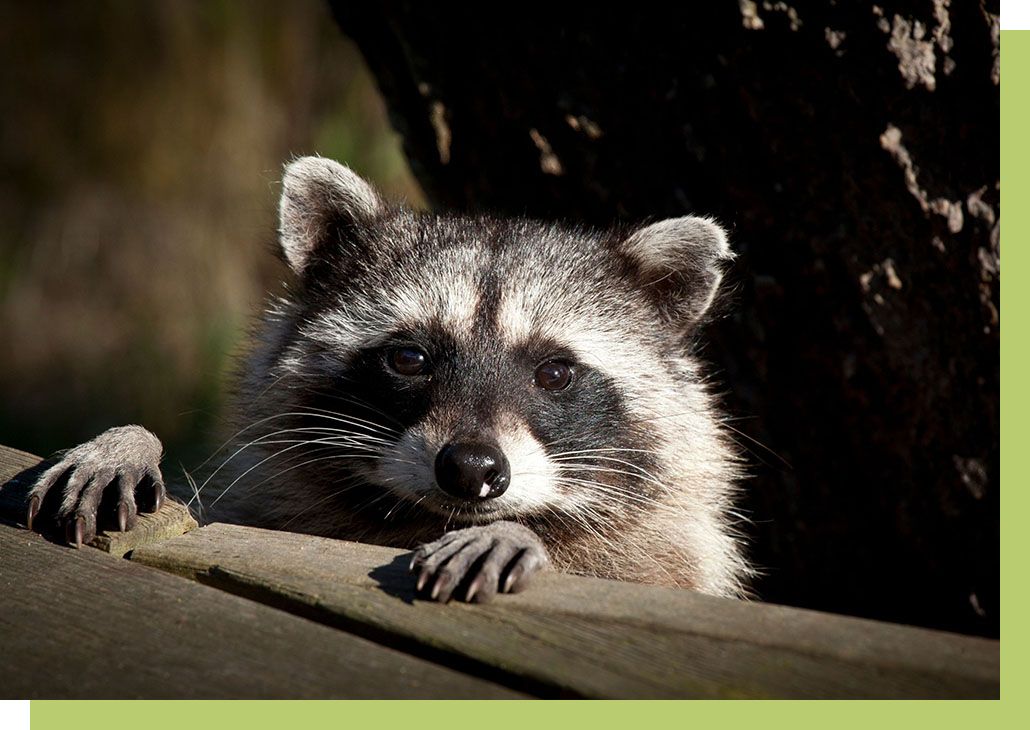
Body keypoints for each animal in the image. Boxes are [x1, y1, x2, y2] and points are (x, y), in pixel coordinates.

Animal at [22, 156, 749, 601]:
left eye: (555, 372)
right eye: (410, 359)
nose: (472, 469)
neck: (418, 520)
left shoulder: (667, 559)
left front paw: (520, 532)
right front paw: (130, 441)